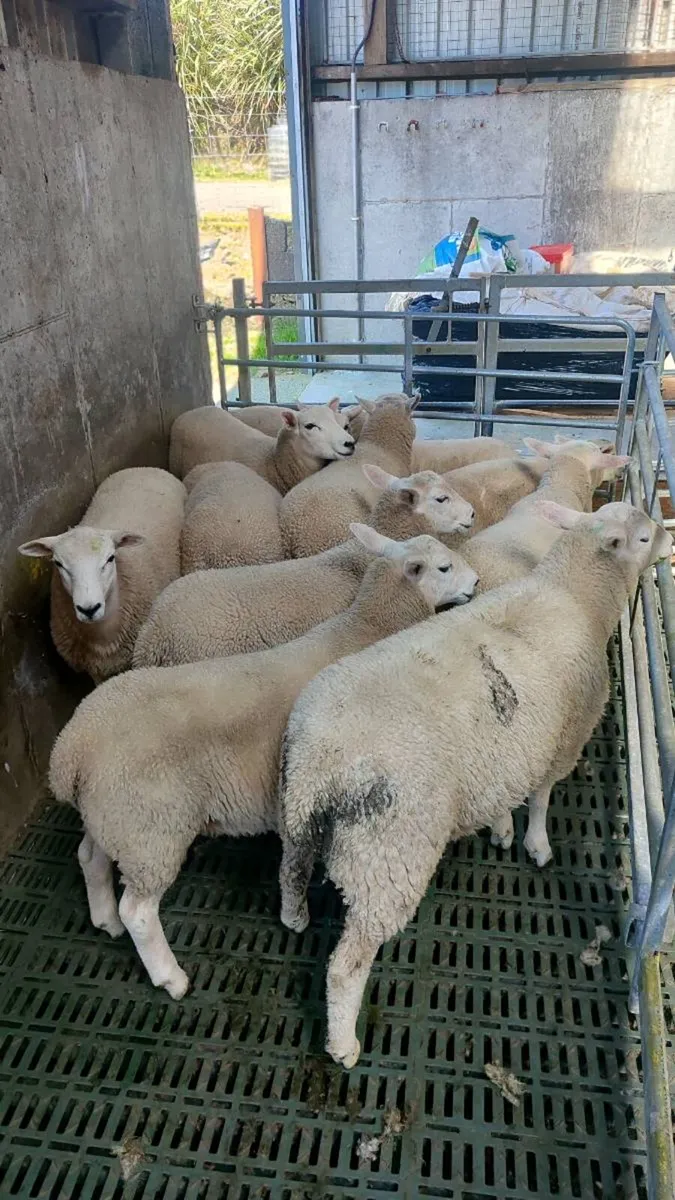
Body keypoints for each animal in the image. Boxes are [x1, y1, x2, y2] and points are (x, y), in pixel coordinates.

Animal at [19, 468, 185, 683]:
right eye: (58, 563)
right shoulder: (94, 668)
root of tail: (143, 468)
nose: (89, 609)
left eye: (110, 558)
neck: (100, 636)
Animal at [49, 527, 479, 1000]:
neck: (367, 627)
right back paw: (170, 976)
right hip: (150, 831)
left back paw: (104, 919)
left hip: (111, 817)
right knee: (140, 912)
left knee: (90, 857)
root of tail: (70, 750)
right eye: (444, 567)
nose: (476, 583)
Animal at [277, 501, 672, 1067]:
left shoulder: (511, 746)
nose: (668, 541)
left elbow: (507, 791)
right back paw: (343, 1044)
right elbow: (542, 796)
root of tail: (325, 756)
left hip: (297, 811)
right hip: (388, 854)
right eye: (642, 537)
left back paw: (295, 918)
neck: (575, 594)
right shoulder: (565, 735)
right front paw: (535, 844)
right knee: (347, 965)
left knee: (290, 871)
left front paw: (502, 828)